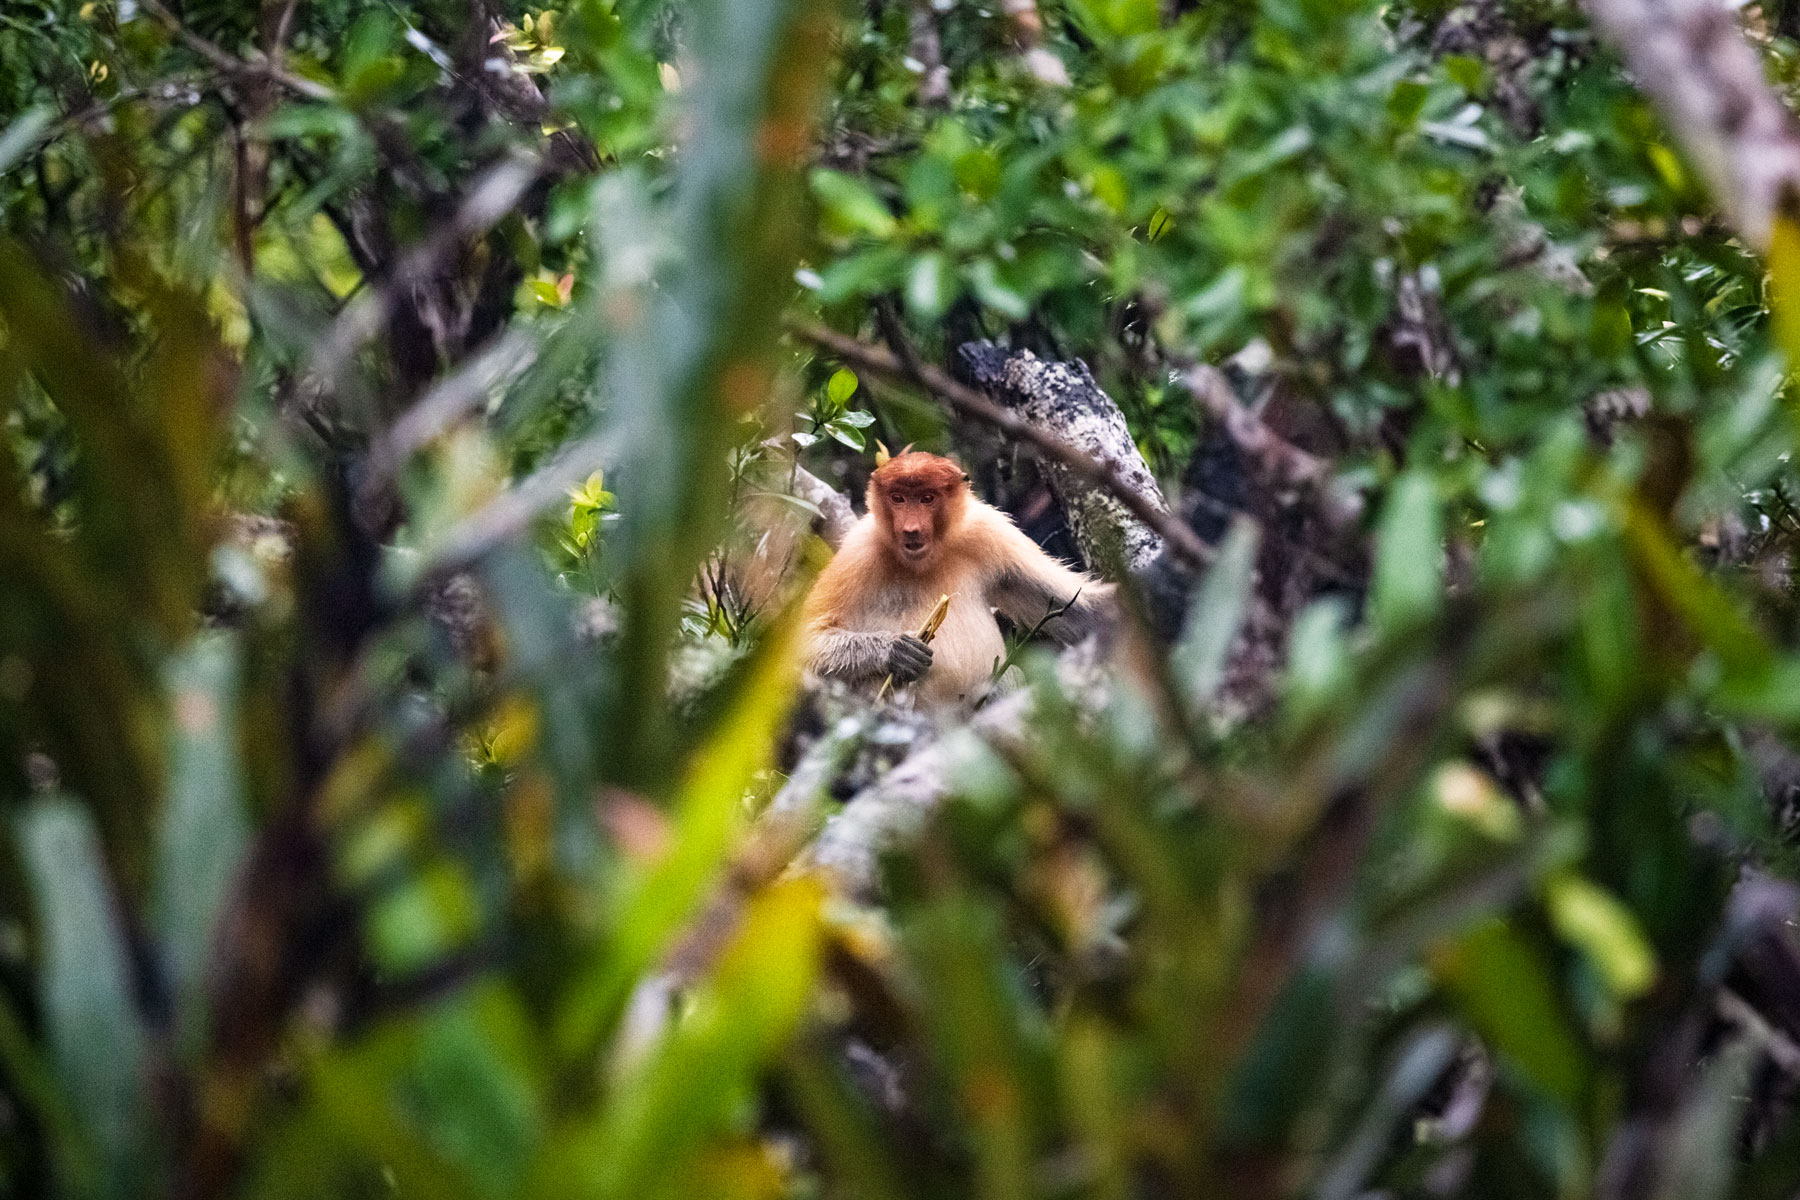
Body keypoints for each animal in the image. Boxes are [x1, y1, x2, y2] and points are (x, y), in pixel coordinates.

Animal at [802, 451, 1113, 708]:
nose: (911, 529)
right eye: (898, 498)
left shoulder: (989, 530)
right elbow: (806, 641)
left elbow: (1080, 611)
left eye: (927, 498)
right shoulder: (858, 552)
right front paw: (897, 651)